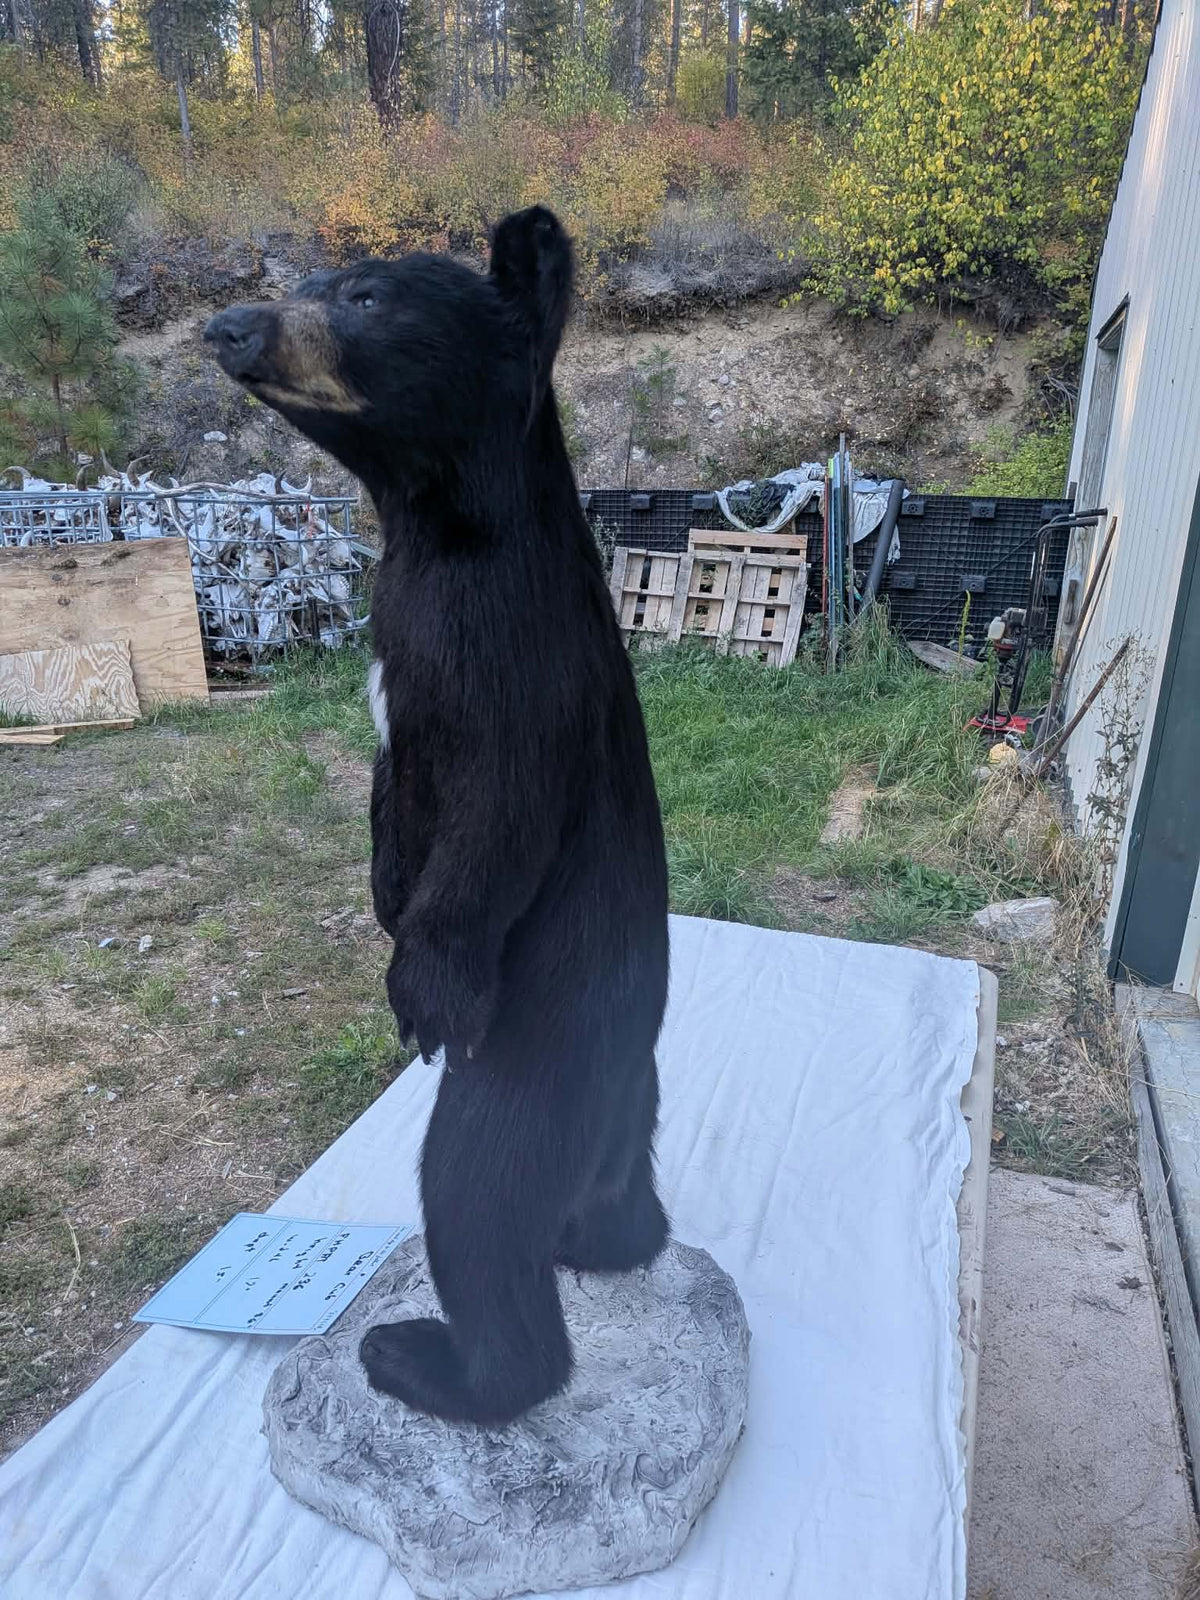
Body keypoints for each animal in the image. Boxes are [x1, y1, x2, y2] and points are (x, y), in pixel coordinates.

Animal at [205, 206, 671, 1427]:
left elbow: (495, 820)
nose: (229, 325)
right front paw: (382, 891)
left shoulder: (506, 654)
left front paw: (420, 975)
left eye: (367, 298)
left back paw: (432, 1361)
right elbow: (383, 780)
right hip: (633, 1093)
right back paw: (608, 1238)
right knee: (618, 1183)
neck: (435, 528)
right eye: (313, 278)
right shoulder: (392, 657)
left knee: (475, 1193)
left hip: (537, 1051)